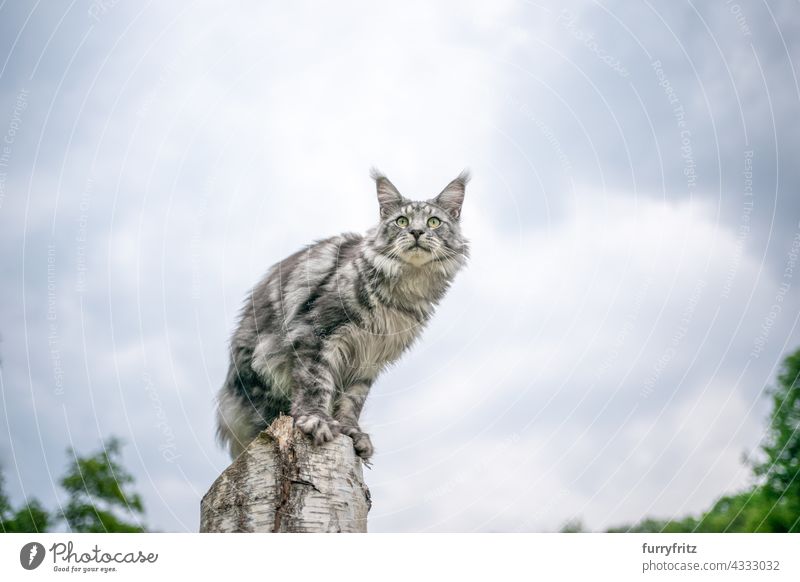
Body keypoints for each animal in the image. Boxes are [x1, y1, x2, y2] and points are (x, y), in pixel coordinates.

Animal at [216, 171, 472, 464]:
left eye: (433, 222)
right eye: (402, 221)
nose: (416, 232)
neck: (404, 289)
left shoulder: (368, 359)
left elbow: (352, 402)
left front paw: (352, 432)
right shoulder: (316, 332)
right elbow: (316, 383)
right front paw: (317, 420)